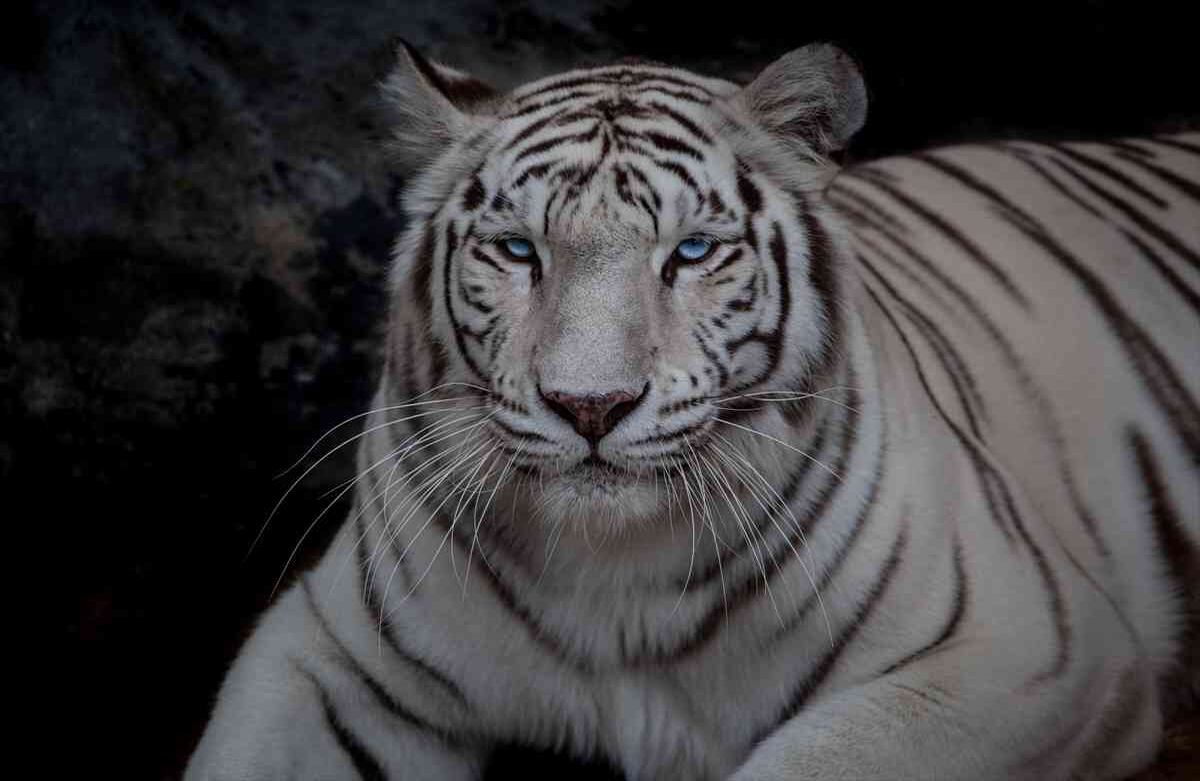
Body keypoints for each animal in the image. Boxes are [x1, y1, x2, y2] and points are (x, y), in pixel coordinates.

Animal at [185, 41, 1199, 781]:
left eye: (693, 251)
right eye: (517, 250)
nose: (589, 405)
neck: (608, 577)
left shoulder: (1024, 651)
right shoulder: (326, 652)